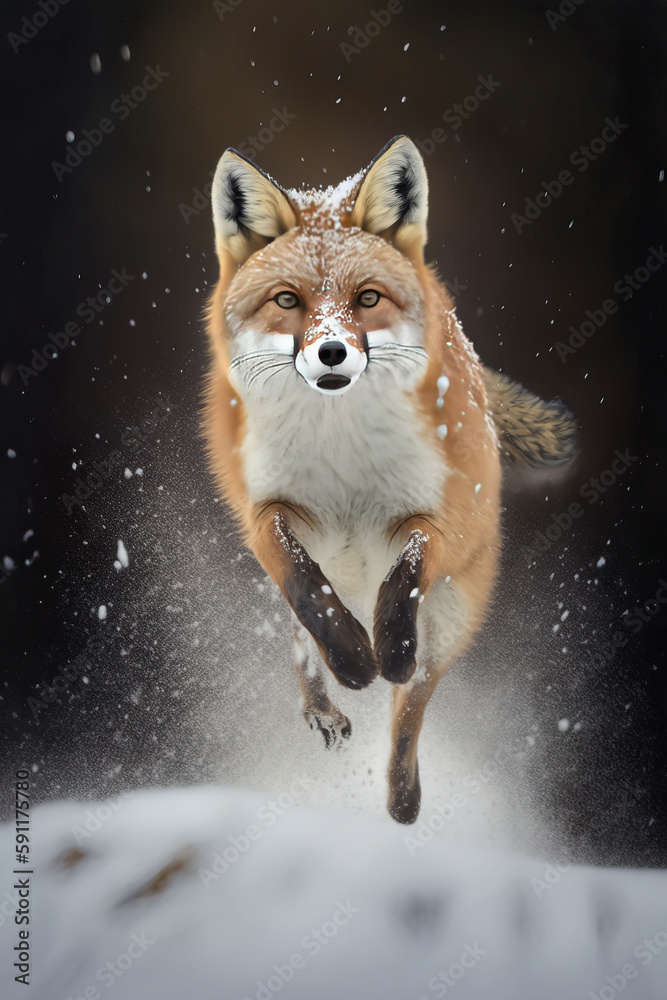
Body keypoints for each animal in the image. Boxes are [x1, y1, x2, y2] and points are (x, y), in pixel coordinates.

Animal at [202, 135, 576, 824]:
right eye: (288, 301)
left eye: (368, 298)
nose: (331, 353)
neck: (342, 455)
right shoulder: (267, 512)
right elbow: (305, 587)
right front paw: (352, 659)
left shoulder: (440, 517)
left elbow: (409, 570)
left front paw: (385, 648)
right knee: (301, 638)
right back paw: (325, 704)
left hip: (453, 617)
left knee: (412, 707)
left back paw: (403, 797)